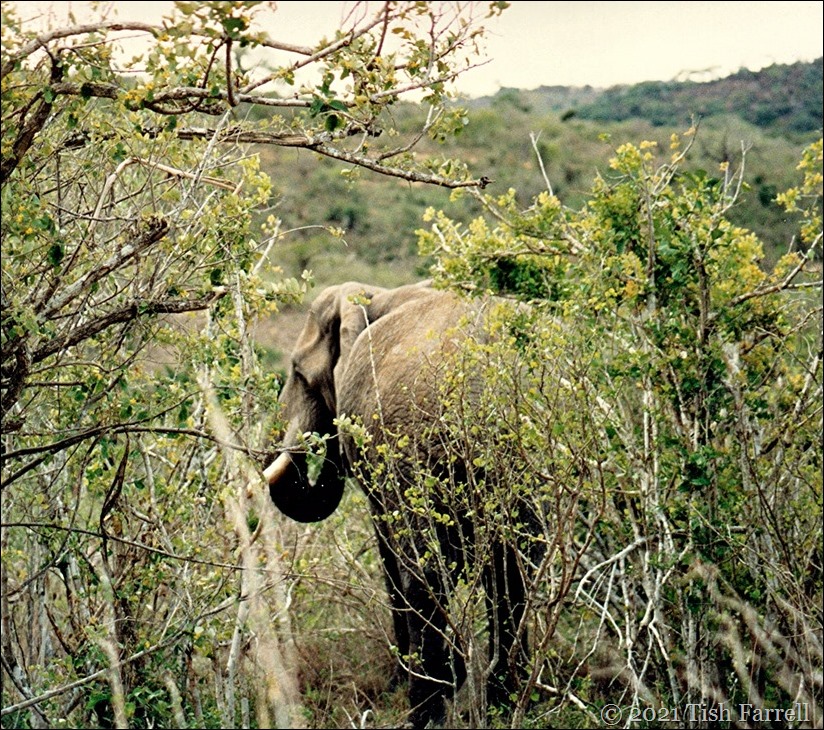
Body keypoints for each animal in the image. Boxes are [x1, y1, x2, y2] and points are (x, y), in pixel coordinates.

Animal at [264, 281, 536, 727]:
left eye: (299, 373)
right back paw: (504, 700)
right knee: (517, 563)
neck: (372, 294)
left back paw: (425, 708)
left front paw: (421, 680)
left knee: (423, 570)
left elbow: (392, 556)